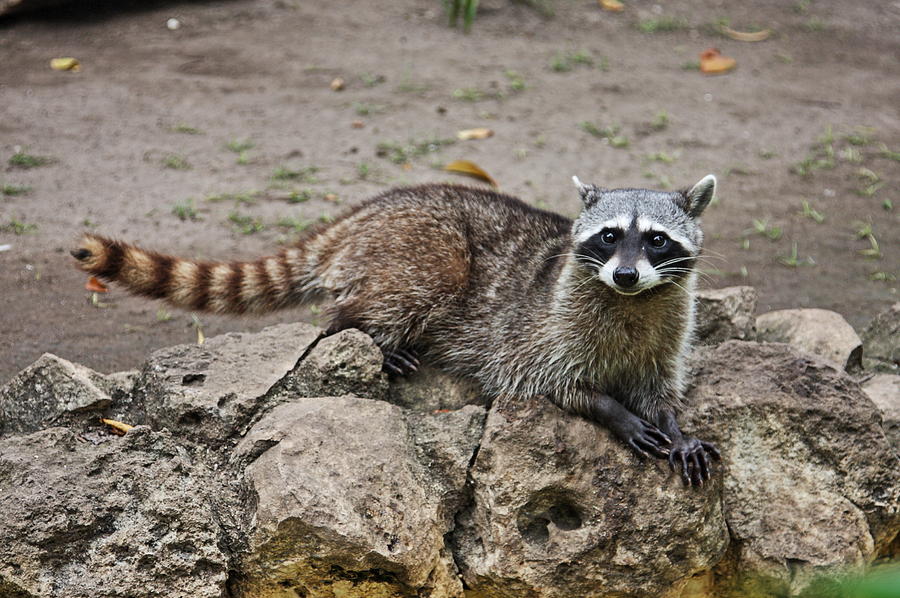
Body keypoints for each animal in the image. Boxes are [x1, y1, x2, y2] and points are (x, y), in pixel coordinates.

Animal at [70, 175, 720, 488]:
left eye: (655, 239)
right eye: (609, 236)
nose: (627, 274)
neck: (630, 301)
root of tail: (371, 209)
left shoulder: (666, 327)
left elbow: (661, 386)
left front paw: (674, 426)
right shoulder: (544, 329)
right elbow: (550, 382)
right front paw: (617, 413)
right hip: (420, 248)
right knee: (399, 291)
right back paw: (364, 333)